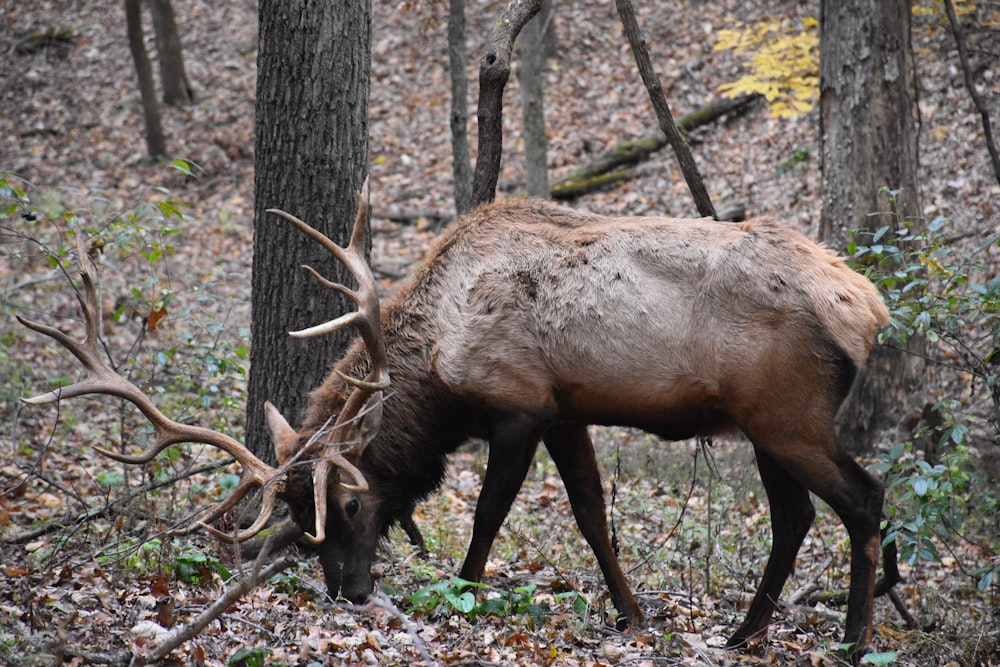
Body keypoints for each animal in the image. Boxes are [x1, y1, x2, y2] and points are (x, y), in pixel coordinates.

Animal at [21, 190, 900, 660]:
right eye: (301, 520)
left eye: (347, 503)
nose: (348, 591)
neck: (438, 365)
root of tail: (869, 306)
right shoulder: (565, 408)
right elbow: (593, 514)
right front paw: (632, 614)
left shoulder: (517, 404)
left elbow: (488, 511)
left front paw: (465, 592)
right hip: (762, 427)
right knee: (794, 517)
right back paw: (744, 633)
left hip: (788, 415)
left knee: (864, 497)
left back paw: (853, 636)